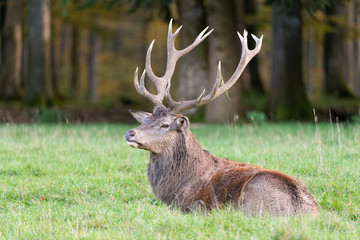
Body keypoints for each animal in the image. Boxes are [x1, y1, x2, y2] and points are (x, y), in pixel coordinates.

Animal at [124, 19, 318, 217]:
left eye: (165, 125)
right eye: (145, 120)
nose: (130, 133)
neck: (175, 188)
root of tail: (303, 211)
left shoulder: (194, 205)